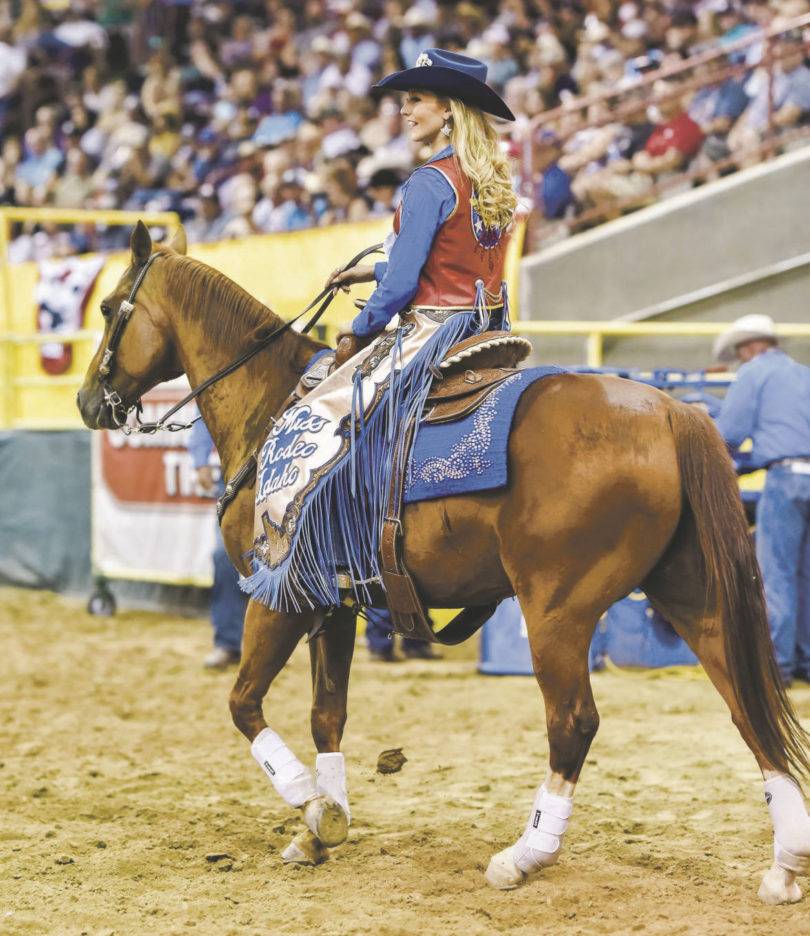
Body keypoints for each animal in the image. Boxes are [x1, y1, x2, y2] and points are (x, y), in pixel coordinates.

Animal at [77, 223, 808, 904]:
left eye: (111, 307)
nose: (87, 402)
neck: (272, 407)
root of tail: (669, 409)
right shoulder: (334, 602)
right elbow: (327, 714)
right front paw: (324, 826)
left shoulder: (281, 594)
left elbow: (244, 703)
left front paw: (312, 807)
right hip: (690, 593)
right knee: (746, 701)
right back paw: (785, 863)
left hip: (558, 610)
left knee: (573, 721)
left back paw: (525, 855)